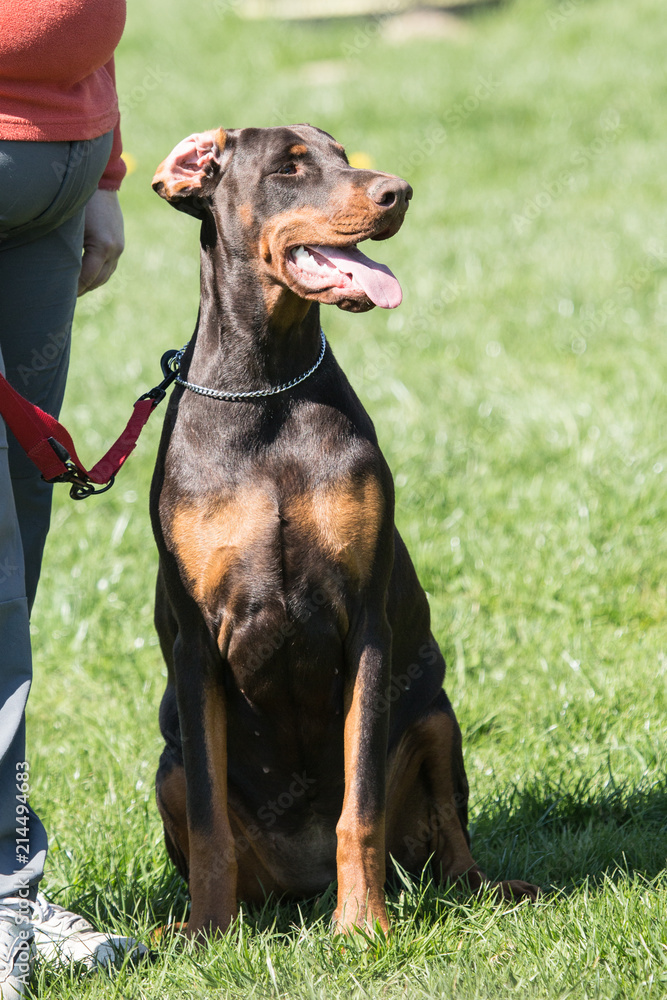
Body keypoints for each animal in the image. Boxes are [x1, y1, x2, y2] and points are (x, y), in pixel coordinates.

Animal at [150, 125, 536, 936]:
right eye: (290, 167)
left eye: (344, 154)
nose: (398, 192)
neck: (267, 387)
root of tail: (301, 888)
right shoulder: (195, 644)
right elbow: (207, 818)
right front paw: (205, 933)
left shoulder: (365, 623)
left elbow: (358, 807)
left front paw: (362, 926)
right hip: (166, 762)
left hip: (434, 715)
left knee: (449, 844)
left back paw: (485, 888)